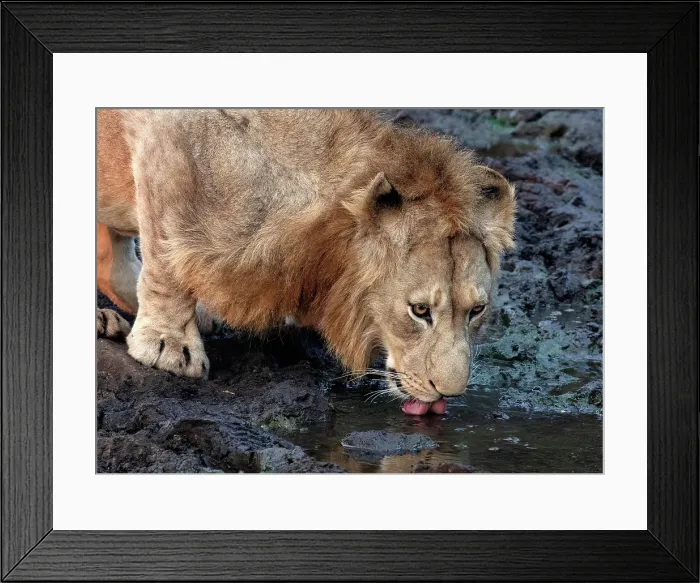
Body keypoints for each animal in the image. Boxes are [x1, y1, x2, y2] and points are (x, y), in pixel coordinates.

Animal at [97, 109, 515, 415]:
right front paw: (169, 346)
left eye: (477, 310)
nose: (451, 393)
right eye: (420, 310)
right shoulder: (168, 141)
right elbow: (165, 257)